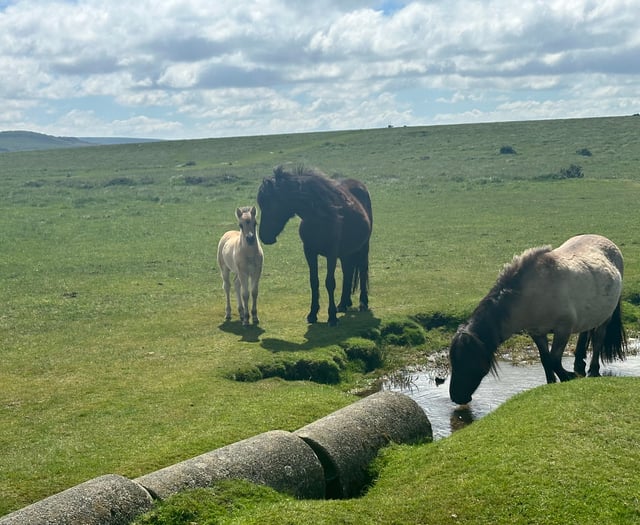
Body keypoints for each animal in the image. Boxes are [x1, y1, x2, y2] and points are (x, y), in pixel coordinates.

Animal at [257, 165, 372, 326]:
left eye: (271, 204)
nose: (264, 237)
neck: (318, 218)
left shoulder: (331, 253)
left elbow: (329, 282)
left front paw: (331, 317)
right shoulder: (309, 252)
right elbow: (314, 281)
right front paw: (312, 314)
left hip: (363, 247)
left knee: (362, 270)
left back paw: (362, 303)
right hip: (345, 252)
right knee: (347, 272)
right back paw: (343, 303)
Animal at [449, 234, 627, 405]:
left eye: (467, 362)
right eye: (453, 362)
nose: (456, 397)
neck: (532, 295)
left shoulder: (563, 329)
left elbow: (554, 359)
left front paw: (567, 377)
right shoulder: (536, 333)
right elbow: (546, 359)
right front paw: (551, 382)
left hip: (606, 316)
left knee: (598, 339)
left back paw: (593, 370)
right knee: (585, 332)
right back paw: (579, 364)